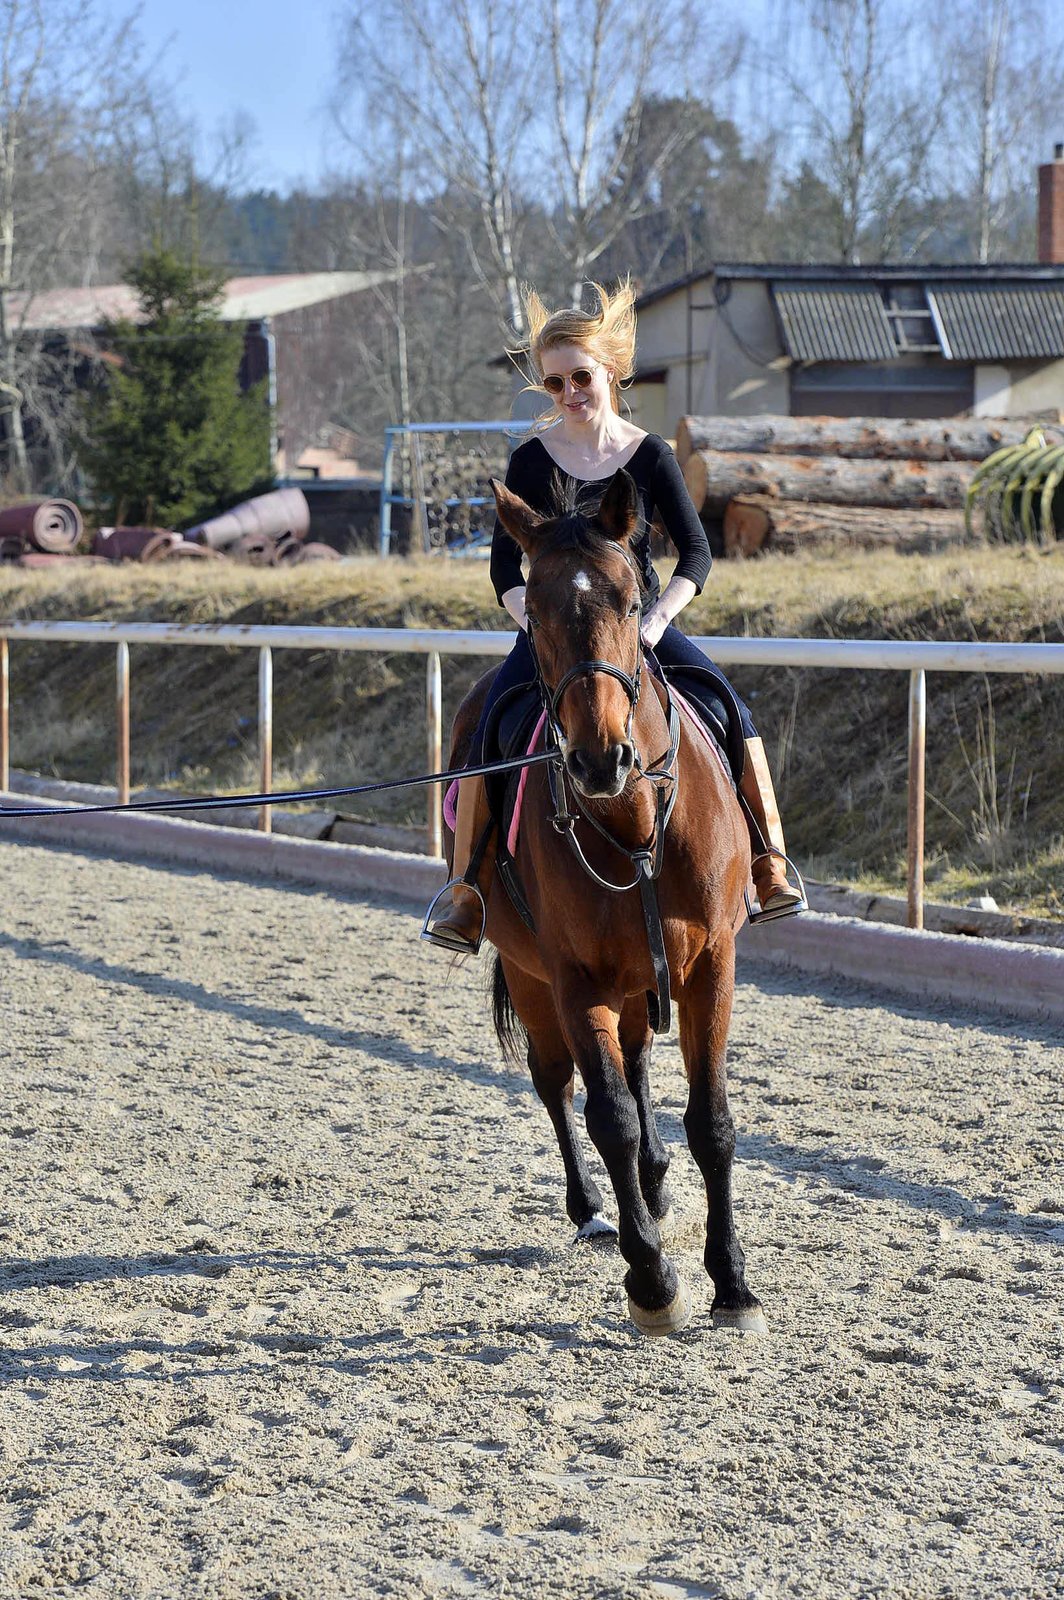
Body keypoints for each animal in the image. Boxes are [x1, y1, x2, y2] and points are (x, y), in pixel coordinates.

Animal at [448, 470, 764, 1337]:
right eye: (535, 607)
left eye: (630, 599)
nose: (600, 759)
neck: (634, 825)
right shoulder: (574, 978)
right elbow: (608, 1116)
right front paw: (652, 1281)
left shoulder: (711, 965)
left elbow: (711, 1123)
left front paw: (732, 1283)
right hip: (531, 971)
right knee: (558, 1084)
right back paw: (596, 1210)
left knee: (637, 1059)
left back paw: (653, 1185)